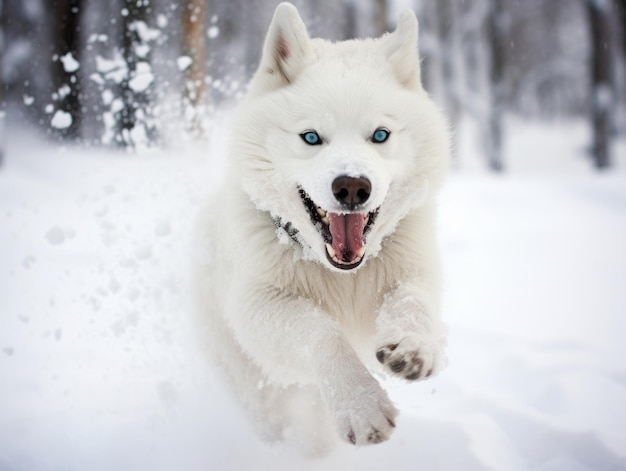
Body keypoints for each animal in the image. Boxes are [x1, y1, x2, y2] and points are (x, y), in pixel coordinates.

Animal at [195, 1, 448, 454]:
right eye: (311, 137)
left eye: (380, 135)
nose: (352, 187)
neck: (342, 276)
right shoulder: (258, 307)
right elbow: (323, 332)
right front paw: (361, 406)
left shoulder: (414, 272)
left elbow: (413, 303)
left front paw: (413, 347)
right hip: (261, 391)